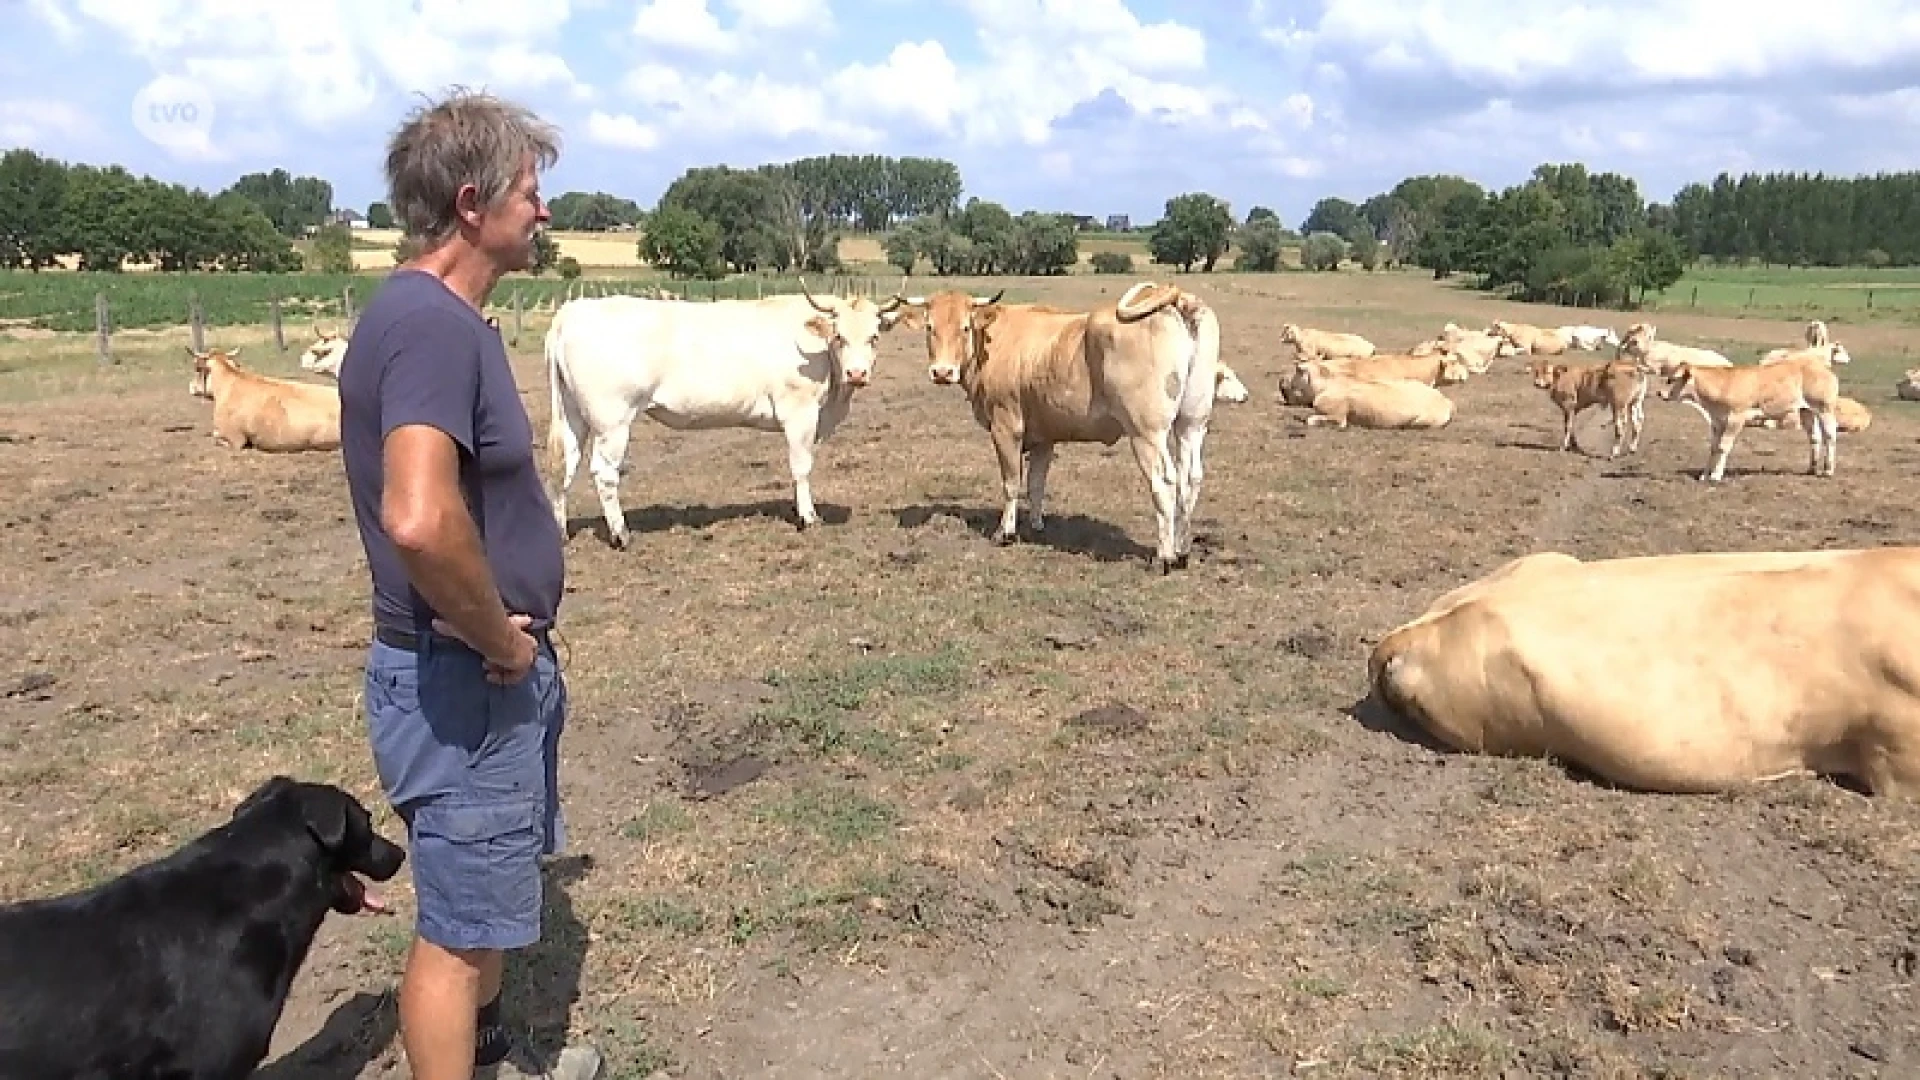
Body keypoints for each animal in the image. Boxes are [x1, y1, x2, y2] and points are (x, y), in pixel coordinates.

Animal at [549, 282, 906, 545]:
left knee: (563, 467)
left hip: (573, 415)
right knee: (604, 473)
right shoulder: (799, 413)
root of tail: (572, 311)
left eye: (874, 337)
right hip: (613, 420)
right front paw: (808, 517)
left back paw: (561, 534)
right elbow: (801, 467)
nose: (857, 374)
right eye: (839, 337)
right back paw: (621, 534)